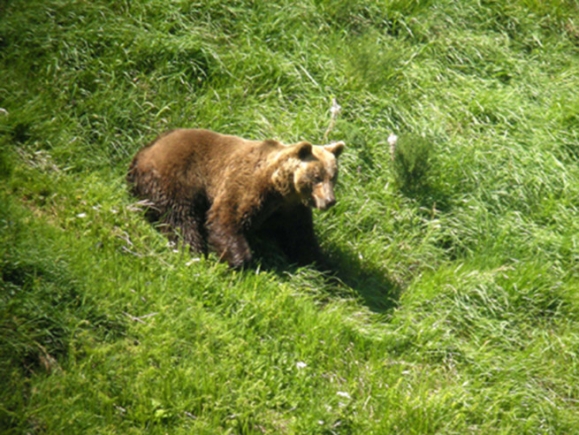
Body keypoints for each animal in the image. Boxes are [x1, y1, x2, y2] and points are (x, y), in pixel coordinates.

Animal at [127, 127, 344, 268]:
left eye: (333, 176)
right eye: (317, 177)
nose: (329, 201)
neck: (279, 188)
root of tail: (143, 151)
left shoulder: (291, 209)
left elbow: (301, 238)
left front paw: (324, 264)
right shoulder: (247, 185)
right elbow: (226, 218)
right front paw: (241, 260)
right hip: (177, 176)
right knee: (180, 216)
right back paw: (193, 249)